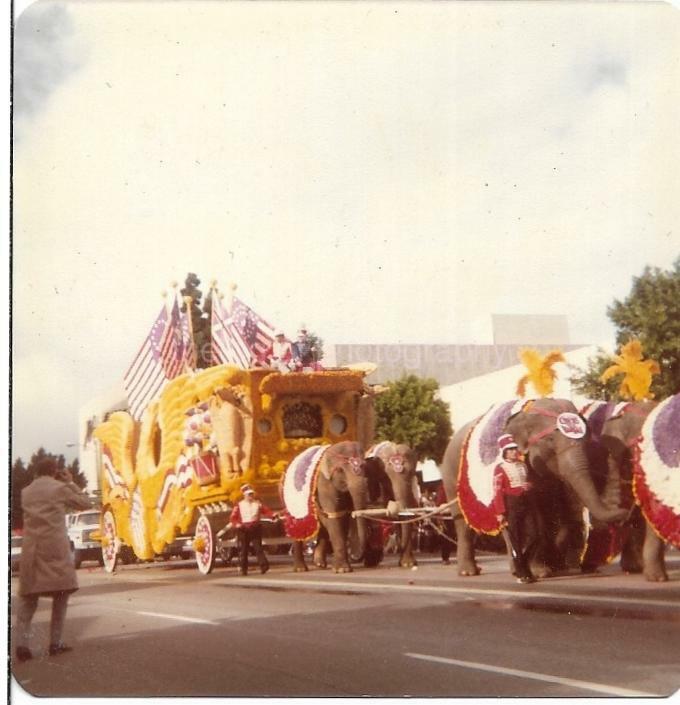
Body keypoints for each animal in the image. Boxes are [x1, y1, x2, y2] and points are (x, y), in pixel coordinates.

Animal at [440, 396, 628, 576]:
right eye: (551, 439)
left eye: (586, 440)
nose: (624, 514)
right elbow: (535, 516)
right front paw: (541, 572)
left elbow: (558, 511)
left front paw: (556, 568)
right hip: (451, 478)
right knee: (464, 525)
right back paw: (470, 572)